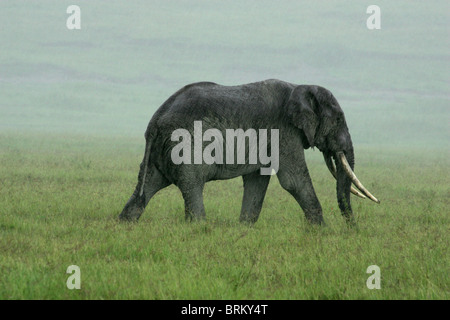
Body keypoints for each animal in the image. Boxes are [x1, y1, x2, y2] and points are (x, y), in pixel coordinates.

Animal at [119, 78, 380, 225]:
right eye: (338, 119)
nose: (352, 228)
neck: (299, 88)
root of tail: (156, 120)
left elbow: (258, 180)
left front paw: (245, 228)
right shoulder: (283, 130)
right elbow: (293, 181)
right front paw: (321, 231)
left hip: (159, 151)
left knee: (147, 186)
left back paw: (124, 225)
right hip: (185, 145)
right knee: (192, 185)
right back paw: (199, 228)